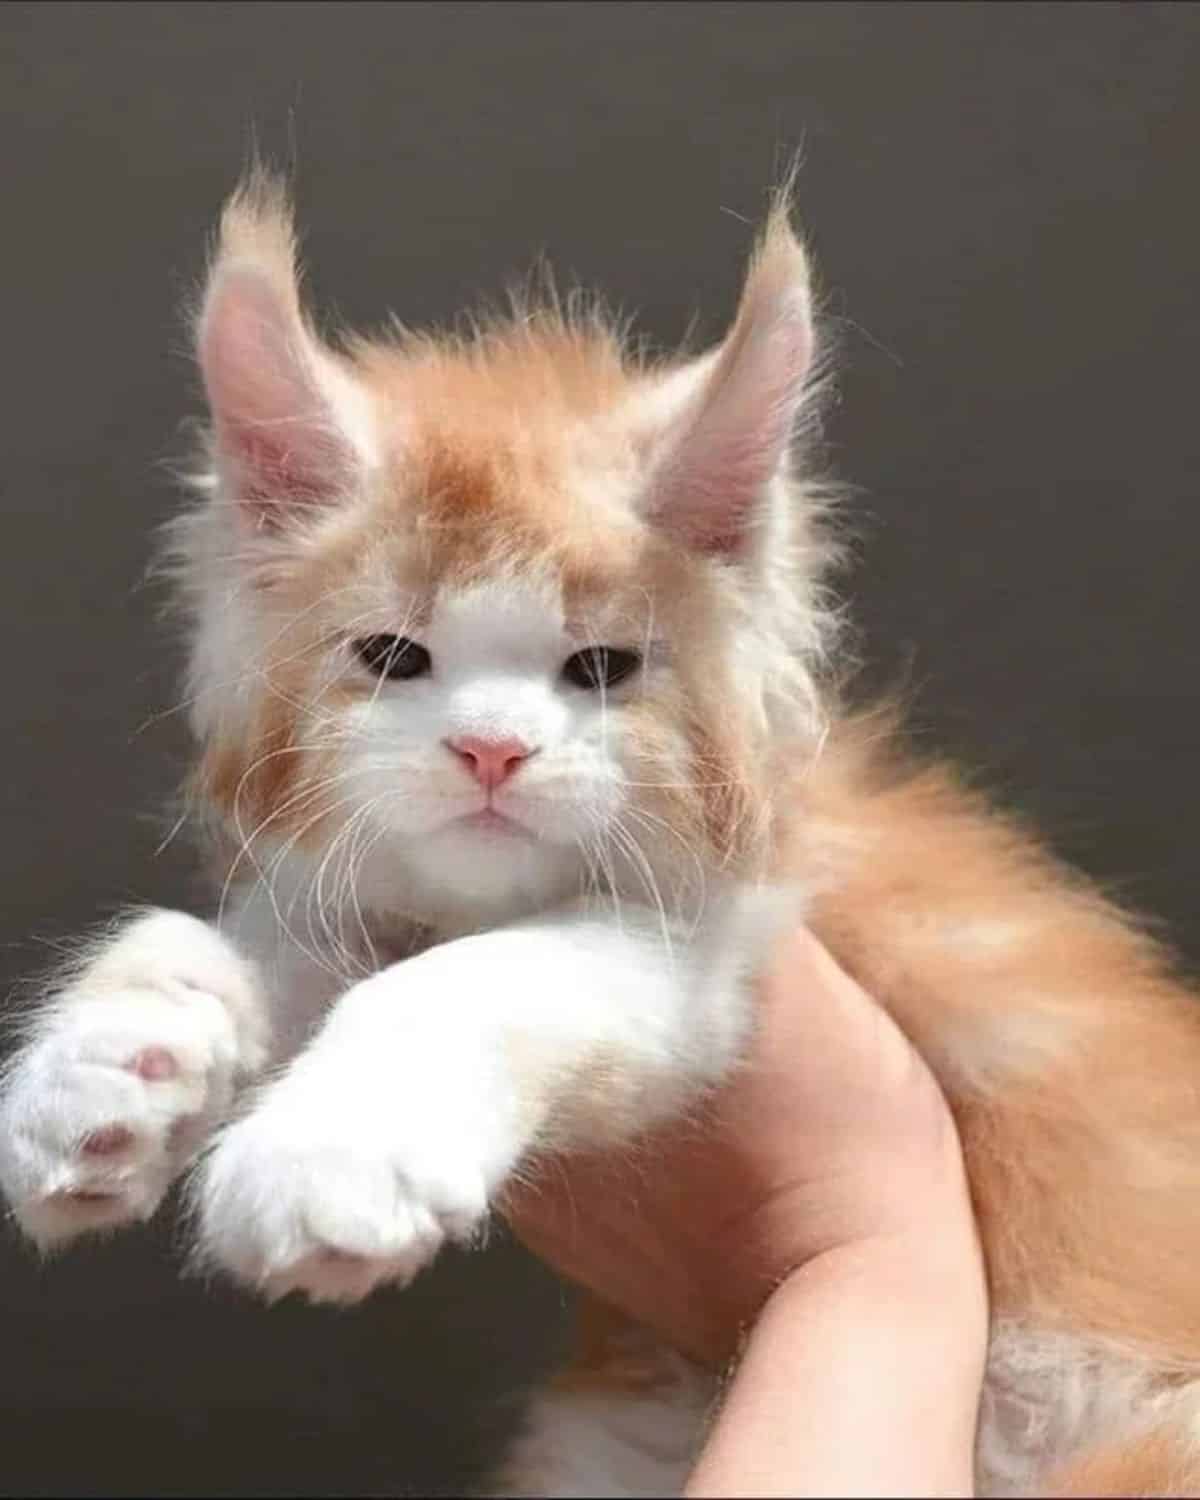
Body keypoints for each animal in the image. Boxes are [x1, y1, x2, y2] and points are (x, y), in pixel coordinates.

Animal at [2, 178, 1200, 1500]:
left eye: (602, 669)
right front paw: (104, 1070)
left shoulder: (714, 945)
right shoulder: (362, 899)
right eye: (393, 656)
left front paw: (325, 1158)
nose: (491, 750)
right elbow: (205, 942)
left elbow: (465, 981)